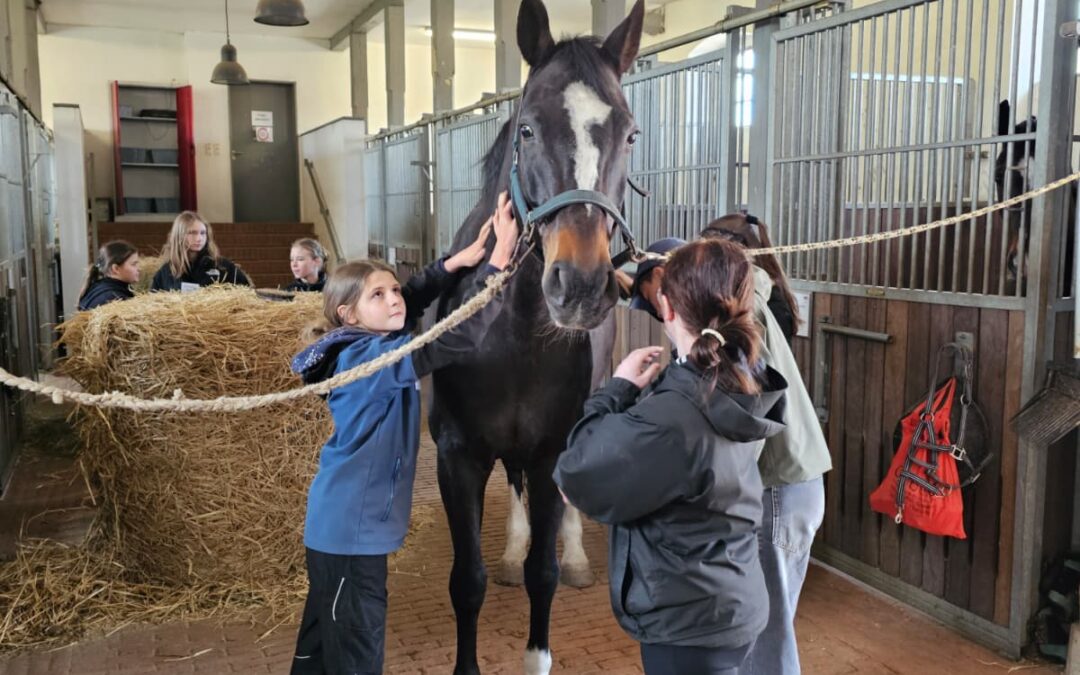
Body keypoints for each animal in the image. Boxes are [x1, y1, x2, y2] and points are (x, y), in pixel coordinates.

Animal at [430, 1, 645, 673]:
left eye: (630, 134)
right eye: (526, 129)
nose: (578, 285)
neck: (516, 334)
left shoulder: (551, 448)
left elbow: (543, 575)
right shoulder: (457, 457)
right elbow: (465, 582)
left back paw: (574, 555)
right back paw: (510, 549)